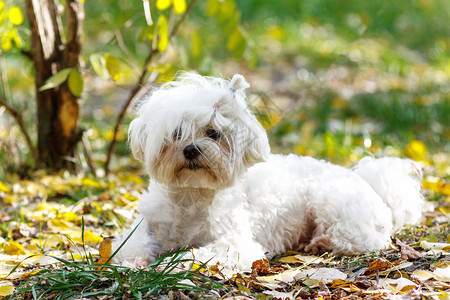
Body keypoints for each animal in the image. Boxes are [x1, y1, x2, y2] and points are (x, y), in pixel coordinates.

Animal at [113, 72, 426, 270]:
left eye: (214, 133)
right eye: (177, 133)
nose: (190, 149)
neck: (193, 192)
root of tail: (366, 179)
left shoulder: (236, 242)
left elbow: (202, 252)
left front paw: (170, 263)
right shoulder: (145, 225)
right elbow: (131, 244)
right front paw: (132, 261)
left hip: (331, 200)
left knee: (368, 239)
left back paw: (321, 242)